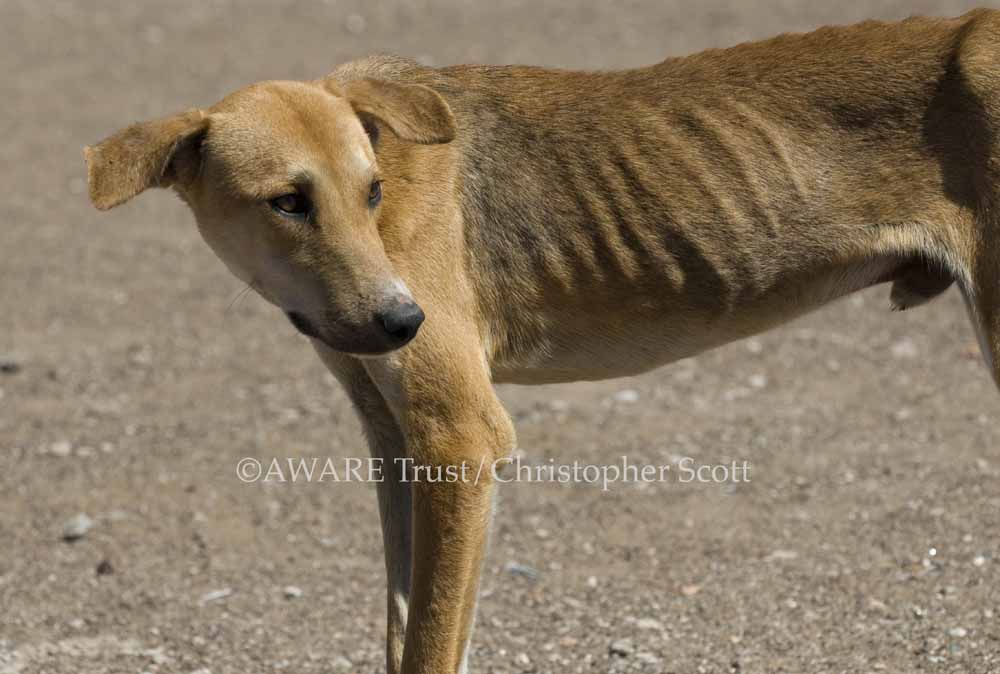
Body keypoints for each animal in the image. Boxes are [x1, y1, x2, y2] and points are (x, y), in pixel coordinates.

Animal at [84, 10, 1000, 672]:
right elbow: (403, 626)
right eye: (287, 202)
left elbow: (430, 646)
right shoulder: (396, 441)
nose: (404, 322)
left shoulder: (460, 437)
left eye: (372, 192)